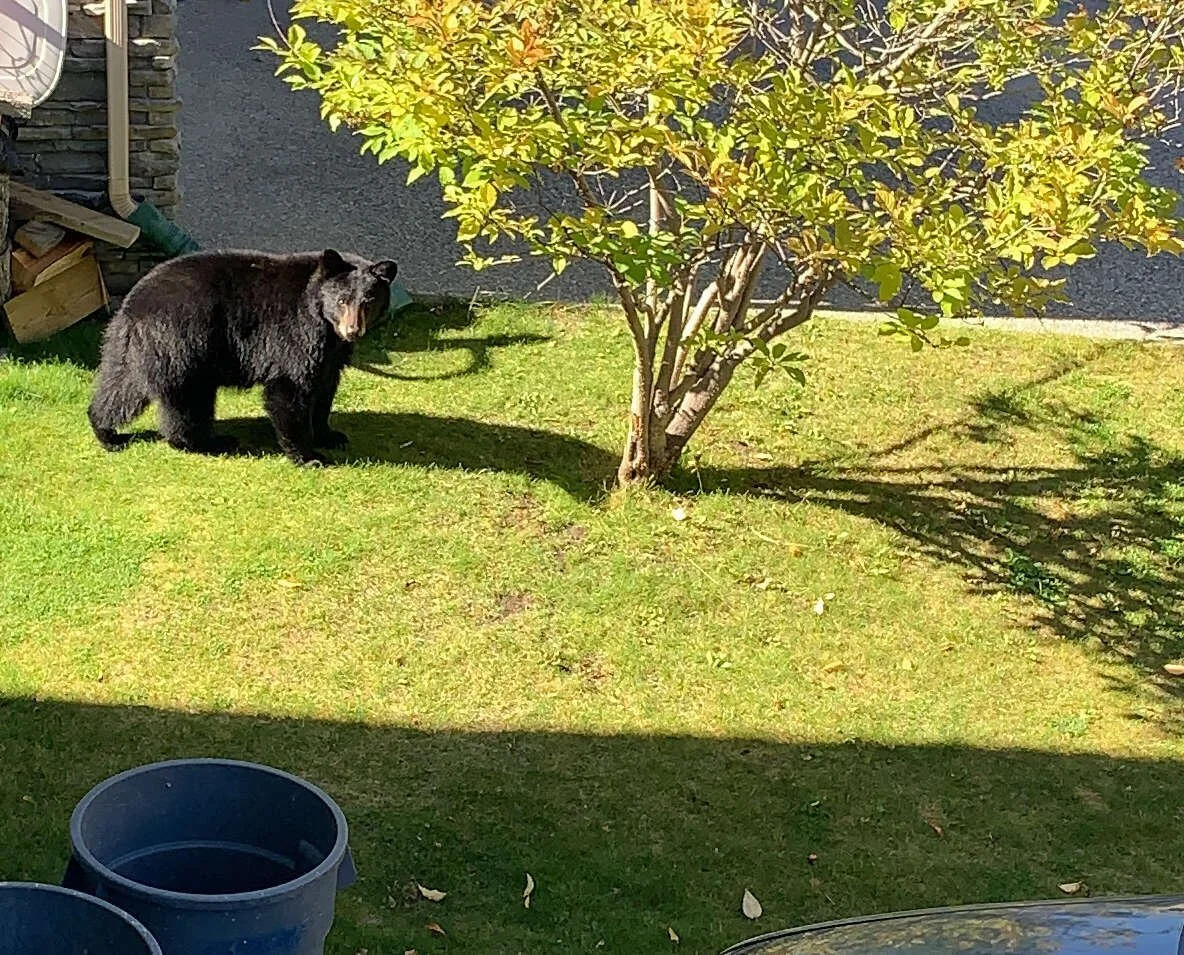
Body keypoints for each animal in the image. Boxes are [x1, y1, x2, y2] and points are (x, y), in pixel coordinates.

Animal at [88, 248, 399, 466]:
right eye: (342, 300)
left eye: (369, 301)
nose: (353, 331)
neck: (322, 321)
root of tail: (133, 304)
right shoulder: (294, 335)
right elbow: (290, 389)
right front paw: (309, 456)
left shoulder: (331, 354)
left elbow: (324, 389)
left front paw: (329, 434)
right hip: (184, 346)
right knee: (188, 403)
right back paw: (206, 442)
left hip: (131, 350)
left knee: (120, 387)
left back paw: (106, 432)